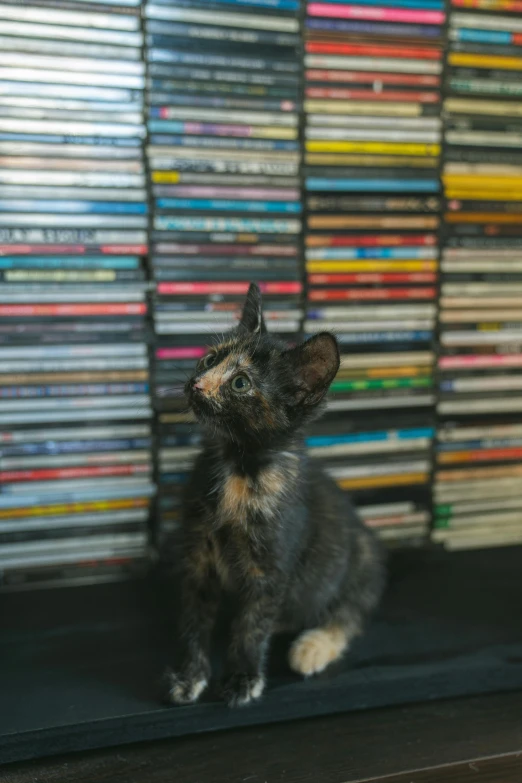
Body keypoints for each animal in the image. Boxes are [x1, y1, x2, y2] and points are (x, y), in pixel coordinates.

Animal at [165, 284, 384, 708]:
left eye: (240, 383)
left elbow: (251, 626)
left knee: (351, 612)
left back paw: (311, 648)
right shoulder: (197, 558)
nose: (196, 384)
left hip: (365, 557)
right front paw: (190, 675)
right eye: (210, 358)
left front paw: (242, 677)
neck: (239, 466)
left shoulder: (269, 568)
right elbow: (192, 619)